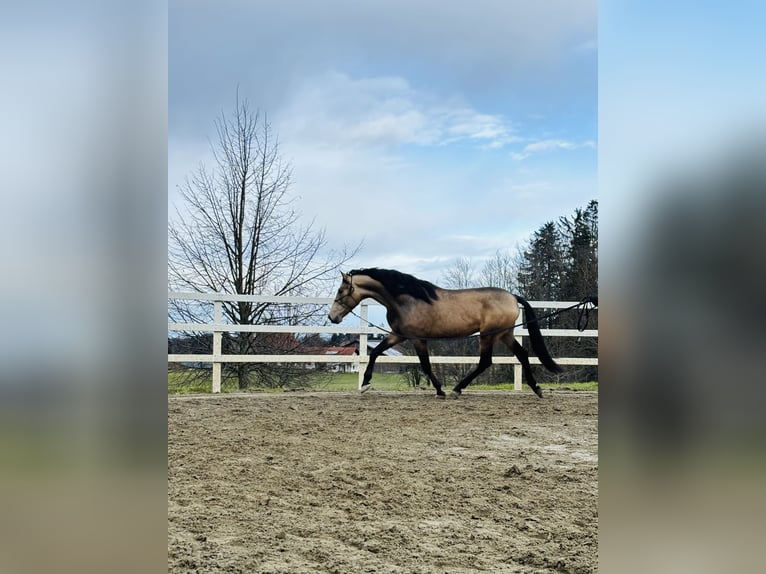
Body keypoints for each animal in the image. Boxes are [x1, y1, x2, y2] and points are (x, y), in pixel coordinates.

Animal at [328, 270, 568, 400]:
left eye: (340, 290)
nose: (332, 317)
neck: (406, 300)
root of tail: (512, 296)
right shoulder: (398, 335)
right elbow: (375, 352)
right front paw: (365, 384)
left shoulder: (417, 339)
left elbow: (425, 365)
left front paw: (440, 390)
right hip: (504, 334)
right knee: (522, 355)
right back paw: (537, 389)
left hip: (488, 335)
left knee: (486, 362)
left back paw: (456, 389)